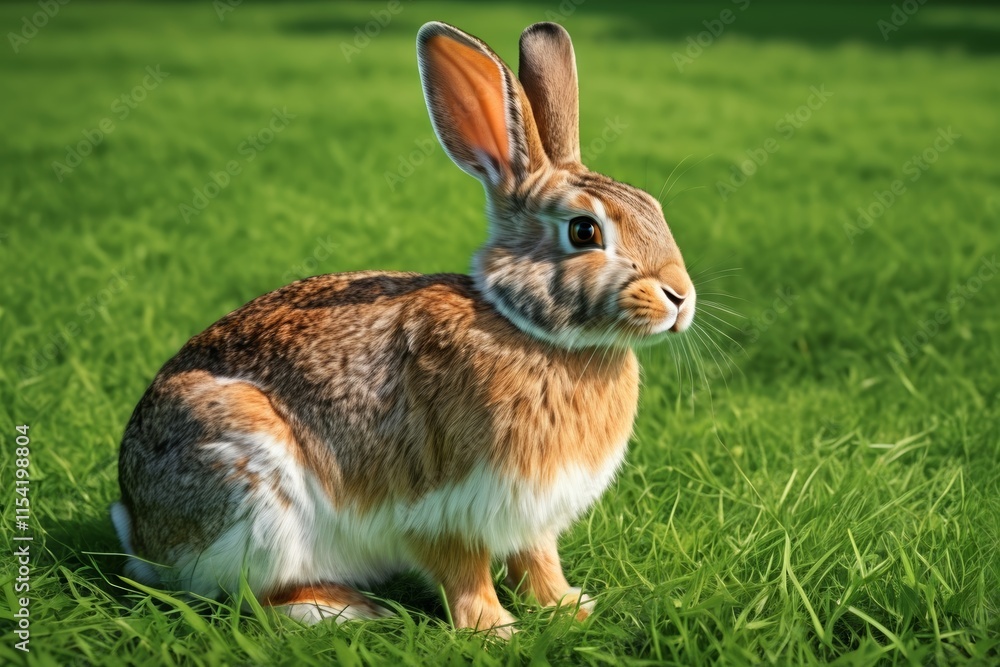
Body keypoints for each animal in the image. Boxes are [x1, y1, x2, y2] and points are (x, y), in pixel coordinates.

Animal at [111, 20, 696, 637]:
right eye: (584, 231)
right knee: (246, 594)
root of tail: (140, 529)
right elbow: (464, 571)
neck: (529, 329)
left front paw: (568, 606)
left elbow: (538, 559)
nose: (681, 297)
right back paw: (342, 608)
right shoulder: (442, 507)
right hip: (255, 501)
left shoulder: (531, 516)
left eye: (653, 207)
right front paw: (494, 630)